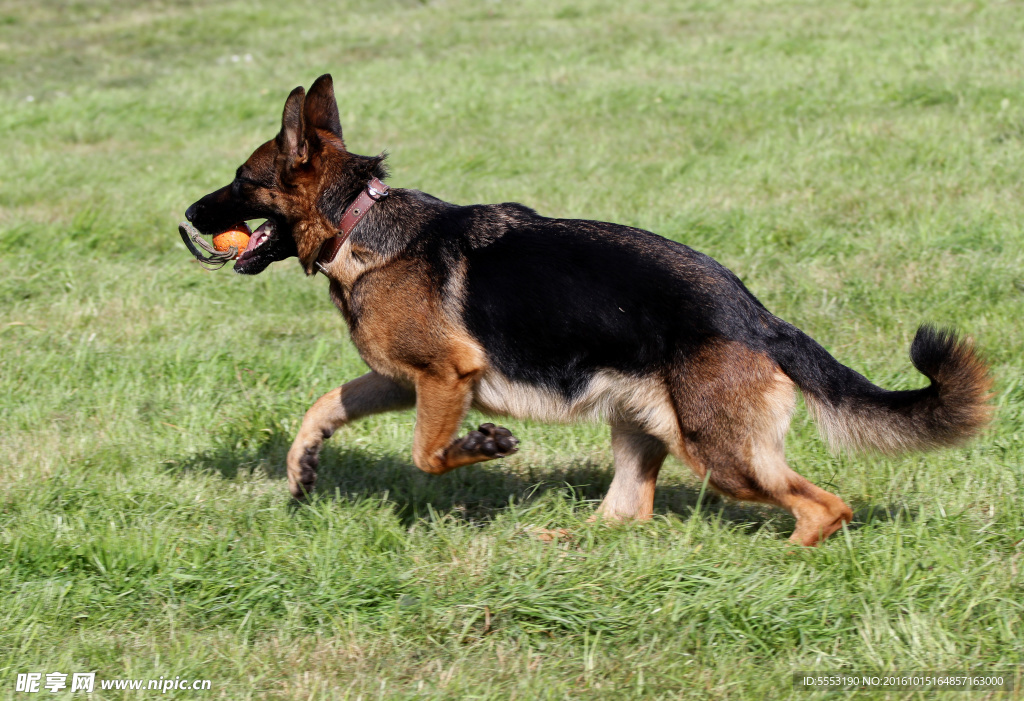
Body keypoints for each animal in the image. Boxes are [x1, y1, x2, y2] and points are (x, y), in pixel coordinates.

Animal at [184, 73, 991, 544]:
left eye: (241, 180)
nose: (189, 215)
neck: (357, 219)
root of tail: (758, 318)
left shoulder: (446, 377)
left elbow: (426, 453)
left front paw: (484, 446)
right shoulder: (402, 378)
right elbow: (324, 404)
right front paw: (301, 468)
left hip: (722, 453)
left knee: (824, 506)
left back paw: (786, 560)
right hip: (644, 424)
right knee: (626, 513)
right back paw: (560, 545)